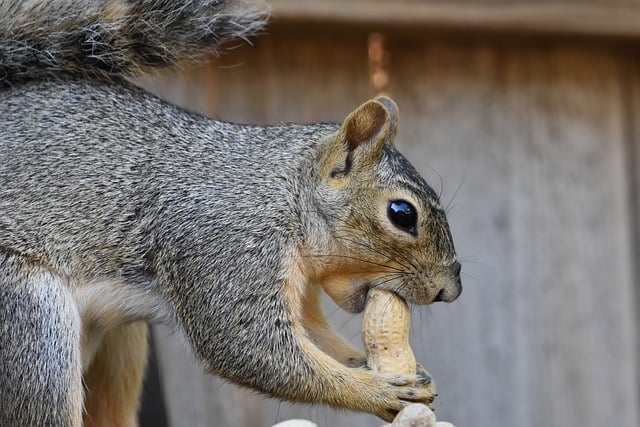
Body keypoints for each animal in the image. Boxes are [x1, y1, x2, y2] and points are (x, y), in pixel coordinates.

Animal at [0, 0, 462, 425]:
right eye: (402, 213)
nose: (450, 291)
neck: (284, 196)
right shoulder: (225, 246)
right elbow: (247, 347)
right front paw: (376, 390)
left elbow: (315, 339)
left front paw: (377, 367)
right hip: (31, 325)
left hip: (119, 342)